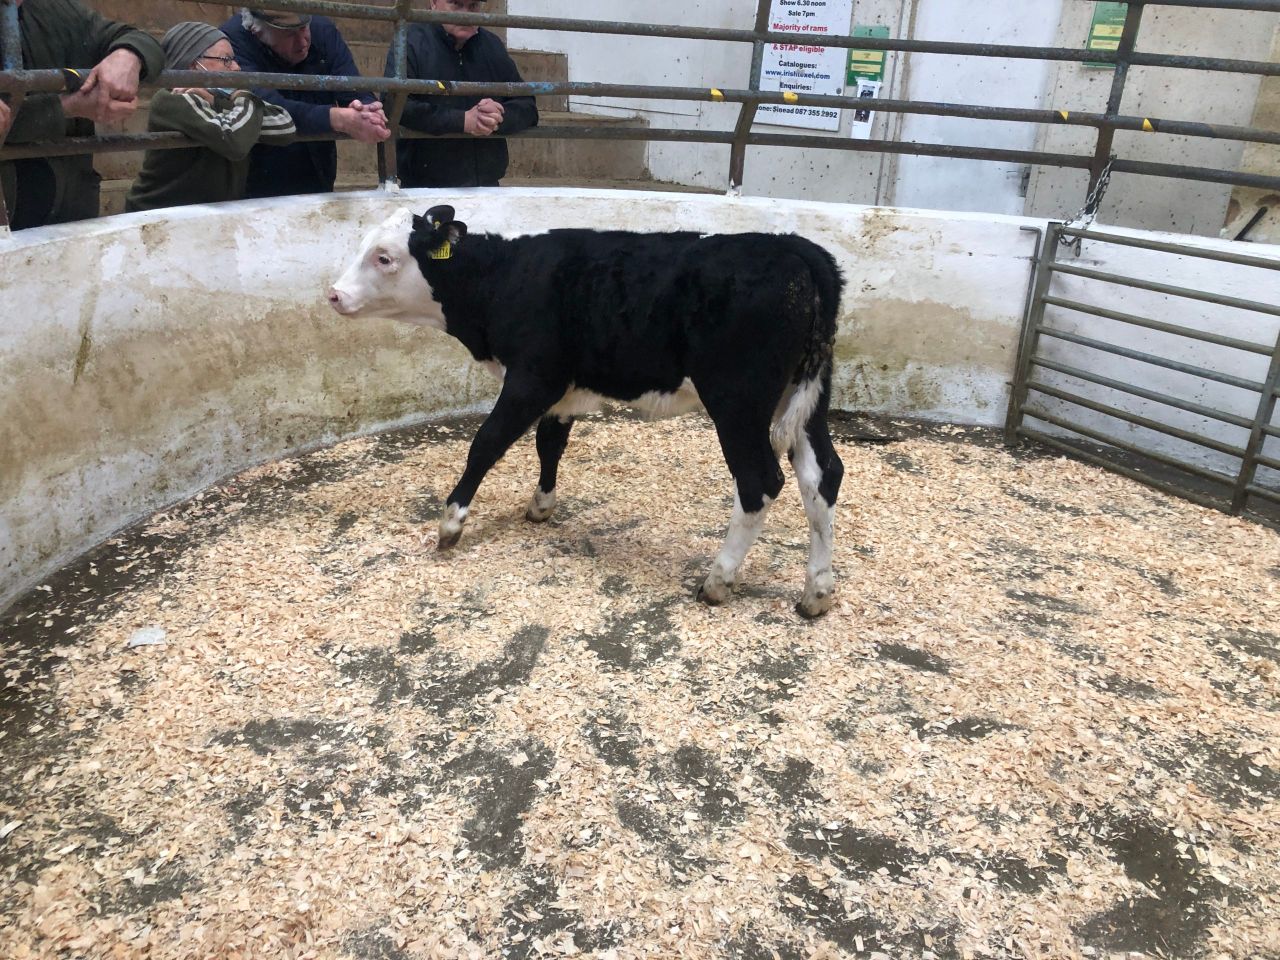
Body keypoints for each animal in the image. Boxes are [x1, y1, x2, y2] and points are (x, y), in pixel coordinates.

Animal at [329, 206, 845, 618]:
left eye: (384, 257)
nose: (334, 295)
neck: (504, 277)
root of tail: (795, 249)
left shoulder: (532, 378)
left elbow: (486, 444)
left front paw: (452, 522)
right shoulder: (561, 391)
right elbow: (549, 444)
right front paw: (541, 506)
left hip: (737, 400)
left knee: (759, 483)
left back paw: (718, 580)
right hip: (806, 397)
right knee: (822, 475)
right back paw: (816, 592)